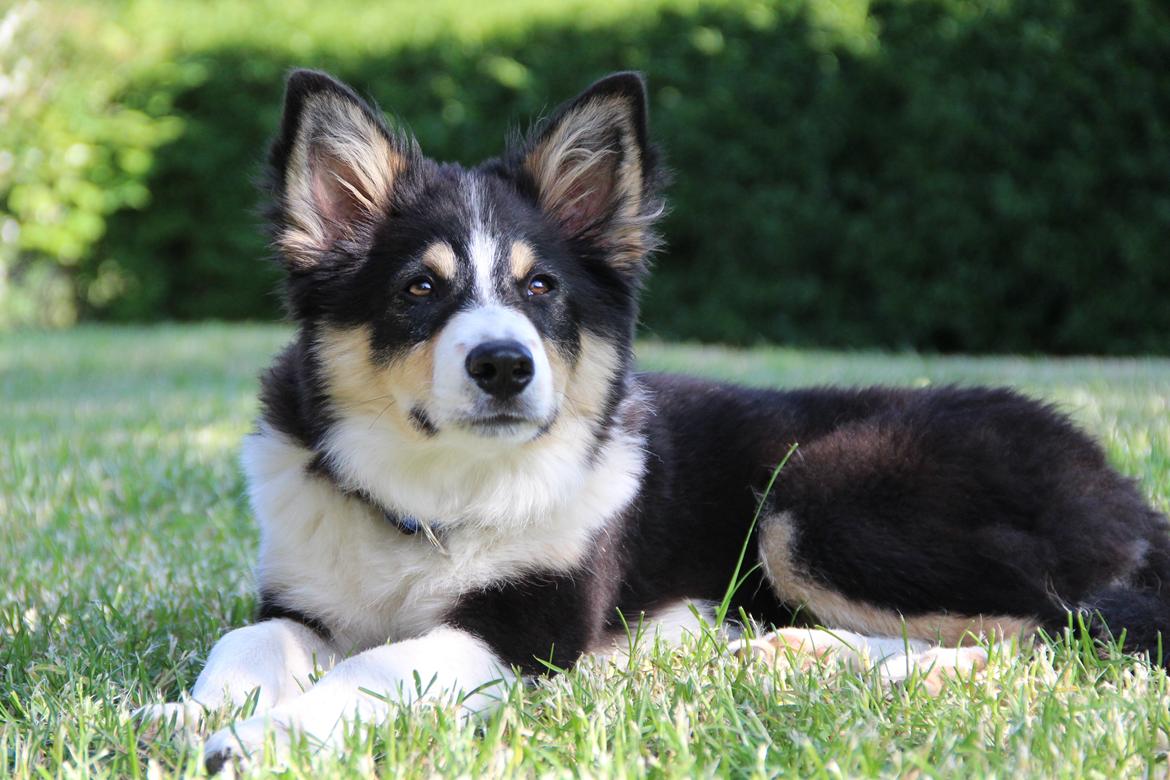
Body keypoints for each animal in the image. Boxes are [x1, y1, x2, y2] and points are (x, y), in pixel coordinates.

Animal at [141, 70, 1170, 767]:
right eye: (418, 289)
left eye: (543, 288)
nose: (504, 366)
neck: (438, 495)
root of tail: (1114, 479)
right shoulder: (302, 596)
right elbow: (250, 640)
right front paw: (186, 715)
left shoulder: (528, 624)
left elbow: (381, 668)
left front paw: (260, 737)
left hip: (822, 498)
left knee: (1059, 630)